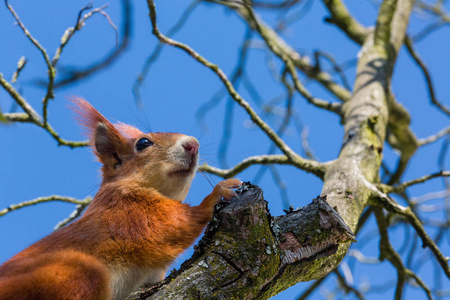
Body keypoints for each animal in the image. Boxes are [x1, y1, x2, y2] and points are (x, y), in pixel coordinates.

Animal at [0, 97, 243, 298]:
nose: (193, 144)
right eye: (143, 143)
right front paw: (216, 194)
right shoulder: (128, 211)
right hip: (71, 273)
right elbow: (171, 225)